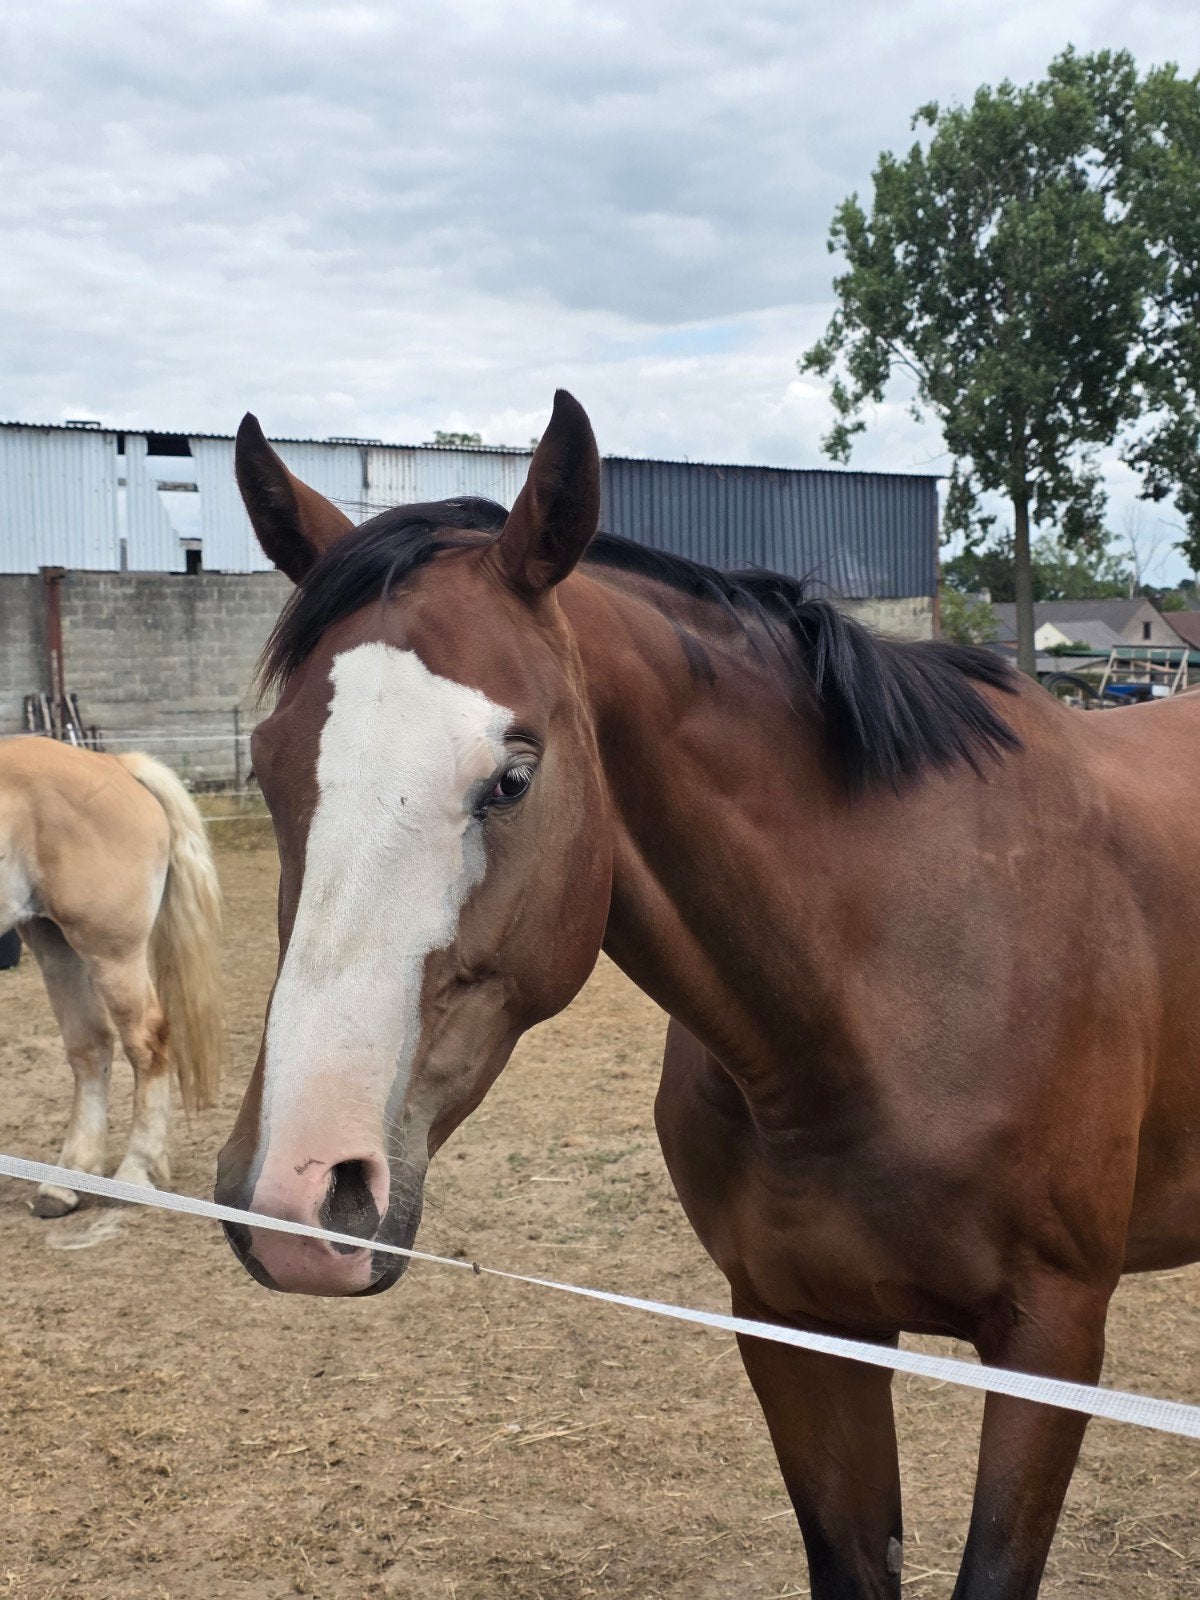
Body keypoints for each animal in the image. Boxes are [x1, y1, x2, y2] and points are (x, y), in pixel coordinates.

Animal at [1, 737, 226, 1215]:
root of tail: (117, 765)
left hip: (112, 952)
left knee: (146, 1042)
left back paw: (135, 1172)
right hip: (56, 945)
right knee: (90, 1048)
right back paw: (66, 1181)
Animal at [215, 392, 1200, 1600]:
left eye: (513, 777)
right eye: (271, 764)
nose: (300, 1194)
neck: (895, 997)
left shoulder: (1050, 1345)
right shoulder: (795, 1330)